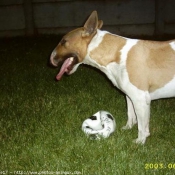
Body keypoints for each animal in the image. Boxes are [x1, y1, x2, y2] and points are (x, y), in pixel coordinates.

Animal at [50, 11, 175, 145]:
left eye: (63, 41)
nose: (50, 58)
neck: (116, 54)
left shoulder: (140, 99)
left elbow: (142, 126)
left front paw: (140, 141)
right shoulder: (130, 96)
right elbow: (131, 114)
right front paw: (128, 128)